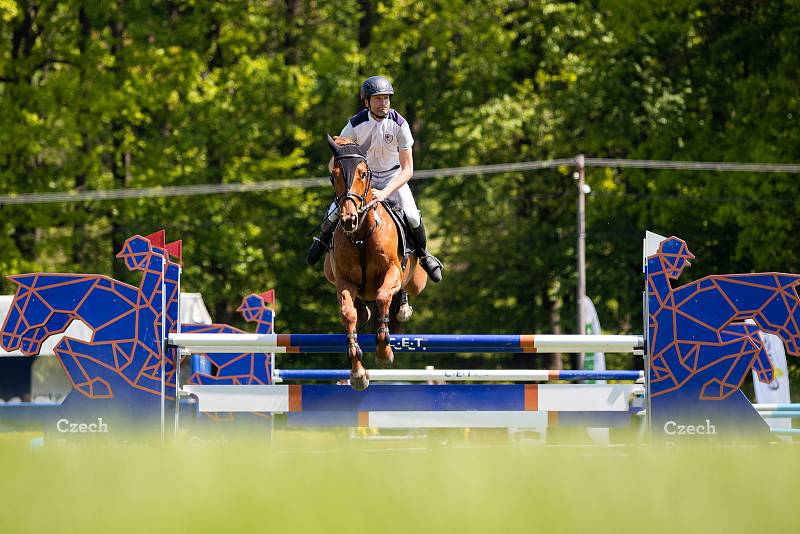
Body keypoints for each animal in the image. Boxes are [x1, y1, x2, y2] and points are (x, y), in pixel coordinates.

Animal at [322, 136, 428, 392]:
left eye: (362, 173)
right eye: (334, 174)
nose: (348, 219)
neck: (361, 234)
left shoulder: (391, 273)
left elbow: (382, 297)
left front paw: (384, 352)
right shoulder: (344, 280)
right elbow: (348, 313)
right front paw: (358, 372)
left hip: (417, 281)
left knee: (403, 290)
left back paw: (403, 308)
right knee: (362, 307)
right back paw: (365, 310)